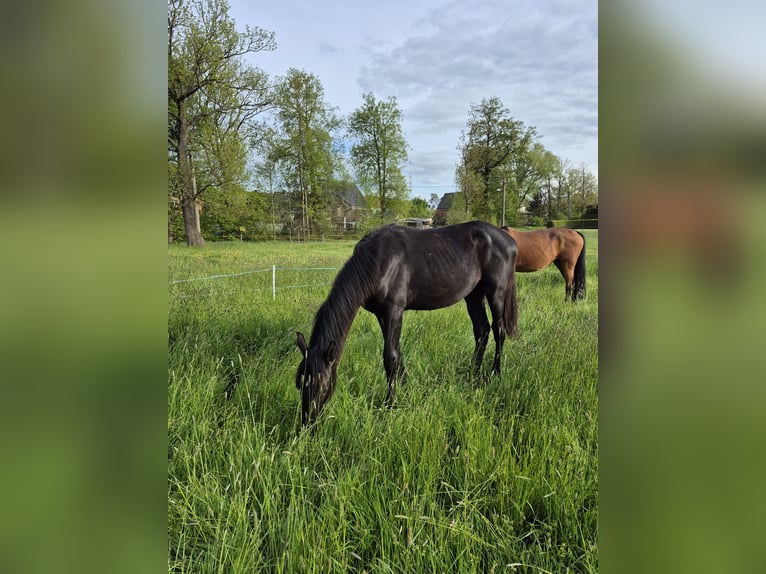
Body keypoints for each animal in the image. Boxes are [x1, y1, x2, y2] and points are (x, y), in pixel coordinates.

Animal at [295, 220, 519, 427]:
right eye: (300, 383)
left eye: (323, 386)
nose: (308, 424)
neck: (379, 261)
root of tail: (508, 239)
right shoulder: (381, 314)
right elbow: (396, 352)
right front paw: (405, 386)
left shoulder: (394, 310)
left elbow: (390, 357)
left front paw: (389, 405)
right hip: (473, 294)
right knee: (481, 331)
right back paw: (473, 374)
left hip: (496, 293)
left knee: (498, 331)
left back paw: (495, 373)